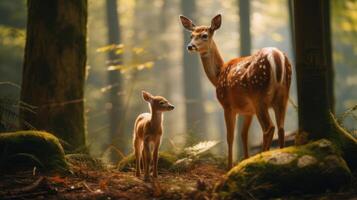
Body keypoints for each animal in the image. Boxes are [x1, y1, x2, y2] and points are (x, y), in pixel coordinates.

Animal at [179, 13, 290, 169]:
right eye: (191, 35)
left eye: (204, 35)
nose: (190, 46)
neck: (218, 75)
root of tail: (277, 57)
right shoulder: (248, 110)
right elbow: (243, 135)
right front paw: (244, 159)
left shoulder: (227, 105)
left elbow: (230, 137)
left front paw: (229, 167)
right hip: (283, 96)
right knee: (281, 128)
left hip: (259, 95)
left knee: (269, 128)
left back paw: (262, 158)